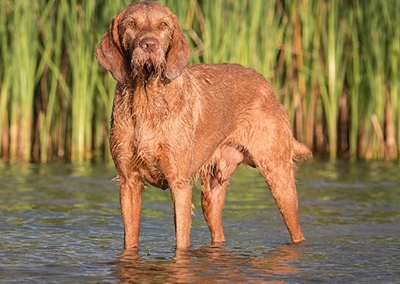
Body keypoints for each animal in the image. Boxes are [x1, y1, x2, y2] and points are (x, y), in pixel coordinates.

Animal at [95, 1, 310, 248]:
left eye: (163, 25)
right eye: (131, 23)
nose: (149, 44)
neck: (147, 99)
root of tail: (267, 85)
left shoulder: (179, 183)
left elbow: (181, 240)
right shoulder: (128, 182)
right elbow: (130, 239)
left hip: (279, 176)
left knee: (295, 227)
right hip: (212, 192)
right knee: (218, 229)